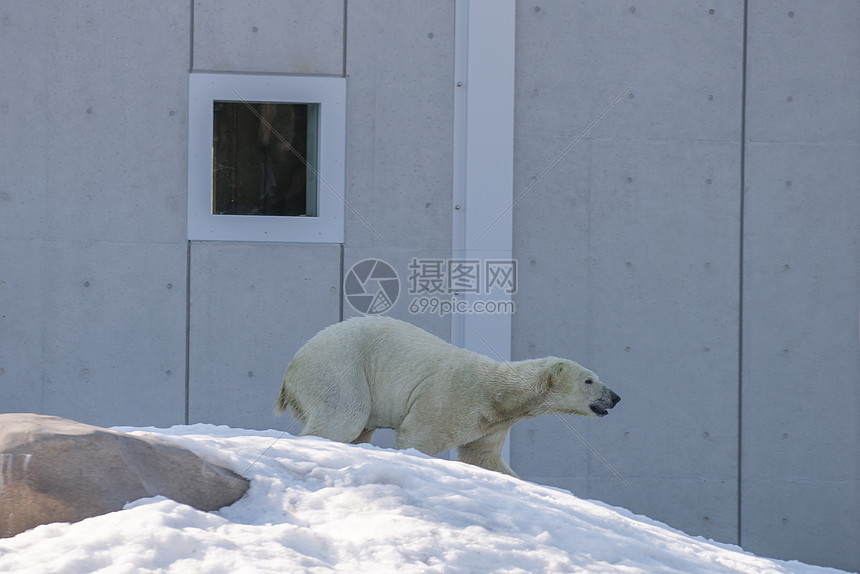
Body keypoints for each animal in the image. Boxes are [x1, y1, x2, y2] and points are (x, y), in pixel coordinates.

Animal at [276, 318, 620, 474]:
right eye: (589, 380)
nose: (615, 397)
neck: (500, 394)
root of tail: (293, 364)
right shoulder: (451, 398)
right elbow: (419, 437)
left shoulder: (493, 424)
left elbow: (483, 457)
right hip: (340, 369)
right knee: (344, 418)